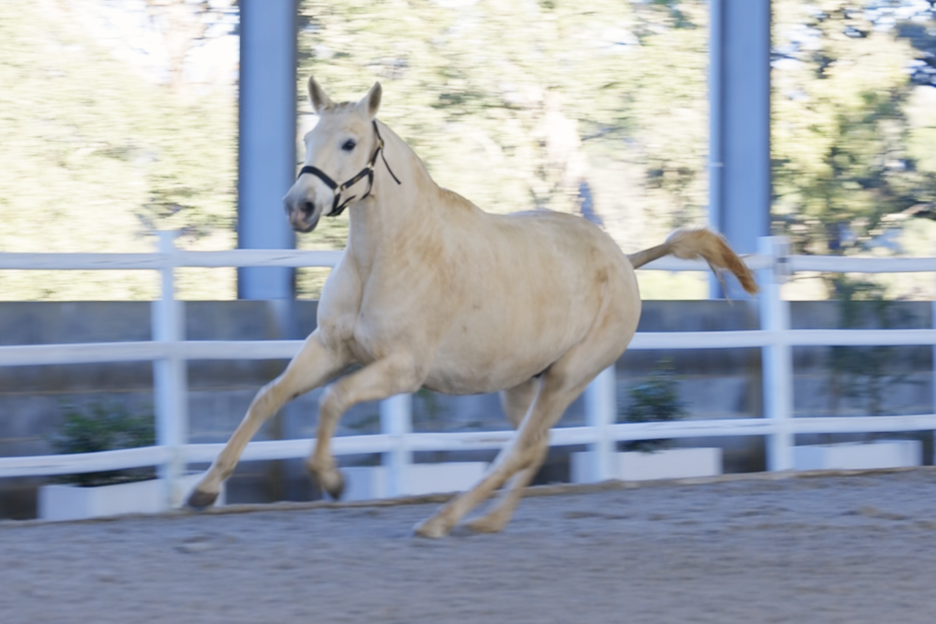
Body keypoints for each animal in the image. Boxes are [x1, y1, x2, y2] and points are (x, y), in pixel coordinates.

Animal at [186, 77, 756, 536]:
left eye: (349, 141)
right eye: (308, 138)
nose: (298, 207)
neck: (389, 256)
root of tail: (623, 258)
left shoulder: (401, 369)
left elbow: (332, 400)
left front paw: (331, 479)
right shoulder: (329, 348)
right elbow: (268, 397)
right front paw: (204, 491)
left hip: (569, 375)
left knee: (520, 449)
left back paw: (443, 520)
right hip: (524, 382)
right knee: (535, 445)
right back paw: (488, 521)